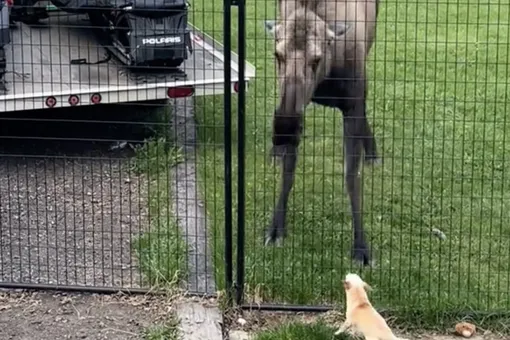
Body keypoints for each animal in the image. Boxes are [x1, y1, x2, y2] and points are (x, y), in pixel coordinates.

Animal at [262, 0, 382, 264]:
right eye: (278, 55)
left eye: (316, 59)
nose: (282, 129)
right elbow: (288, 172)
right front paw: (276, 228)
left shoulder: (354, 102)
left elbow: (351, 177)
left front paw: (361, 246)